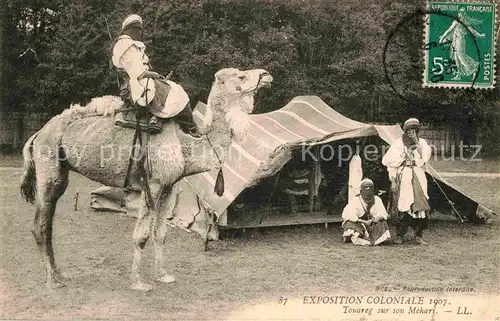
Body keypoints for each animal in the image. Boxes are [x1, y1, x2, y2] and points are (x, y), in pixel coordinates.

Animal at [19, 67, 274, 290]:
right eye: (240, 75)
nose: (265, 75)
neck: (184, 144)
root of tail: (38, 133)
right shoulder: (151, 184)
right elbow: (140, 235)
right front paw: (138, 283)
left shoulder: (169, 186)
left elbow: (160, 234)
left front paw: (163, 275)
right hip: (48, 169)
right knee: (40, 225)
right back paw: (53, 281)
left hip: (60, 174)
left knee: (48, 223)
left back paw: (59, 274)